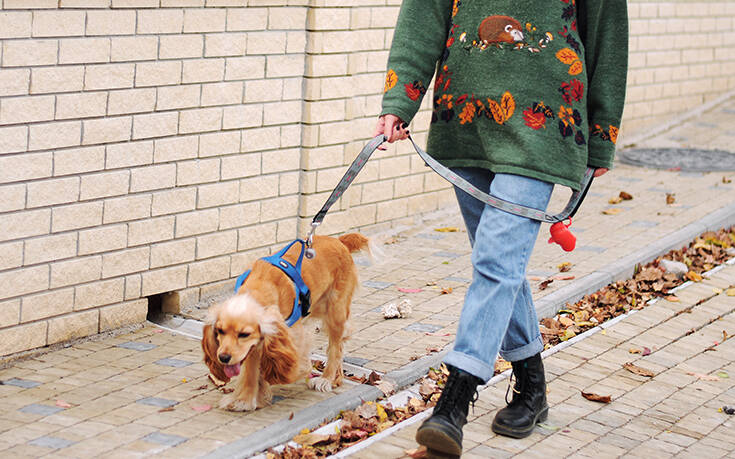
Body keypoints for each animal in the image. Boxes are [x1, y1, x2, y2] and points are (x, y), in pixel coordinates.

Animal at [201, 235, 368, 412]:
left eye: (244, 334)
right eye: (220, 331)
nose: (223, 357)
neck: (260, 287)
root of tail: (339, 241)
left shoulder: (289, 333)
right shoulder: (255, 344)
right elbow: (251, 370)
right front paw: (245, 399)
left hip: (336, 310)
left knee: (336, 348)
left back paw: (326, 379)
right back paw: (337, 379)